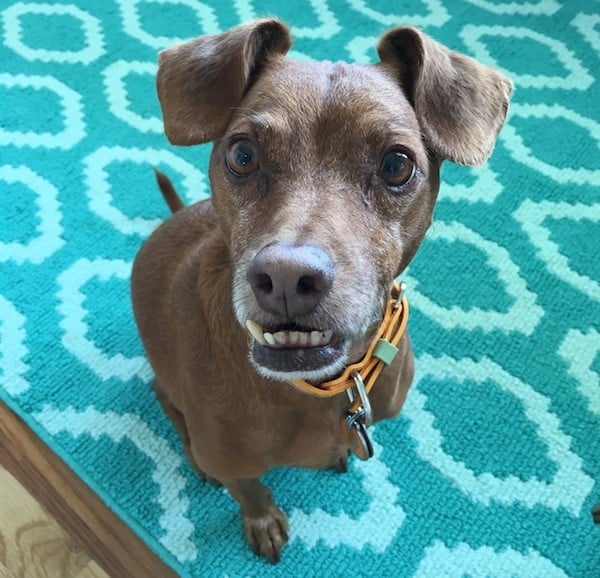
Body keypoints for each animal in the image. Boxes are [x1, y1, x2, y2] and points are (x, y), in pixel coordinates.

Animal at [130, 19, 510, 564]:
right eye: (242, 154)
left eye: (396, 165)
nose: (287, 279)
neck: (322, 389)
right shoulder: (235, 464)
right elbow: (250, 491)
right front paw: (263, 520)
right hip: (169, 390)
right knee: (169, 403)